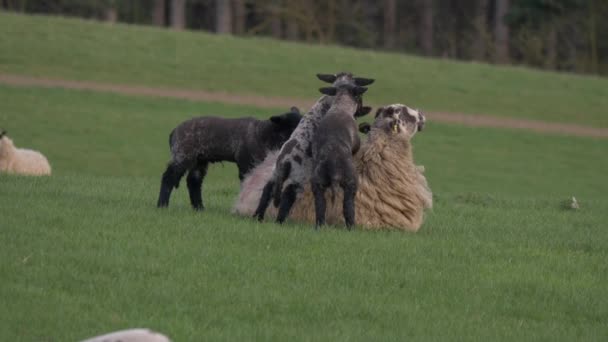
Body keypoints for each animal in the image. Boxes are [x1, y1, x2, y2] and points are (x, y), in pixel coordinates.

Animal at [154, 107, 302, 210]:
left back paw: (199, 208)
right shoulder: (245, 162)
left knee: (194, 182)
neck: (264, 134)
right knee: (169, 177)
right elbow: (246, 181)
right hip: (182, 155)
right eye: (293, 125)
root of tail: (173, 133)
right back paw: (162, 204)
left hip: (200, 159)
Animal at [253, 72, 376, 223]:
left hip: (275, 173)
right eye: (359, 96)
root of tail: (286, 161)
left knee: (267, 190)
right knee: (287, 196)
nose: (362, 110)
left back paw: (257, 217)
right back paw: (279, 221)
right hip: (298, 177)